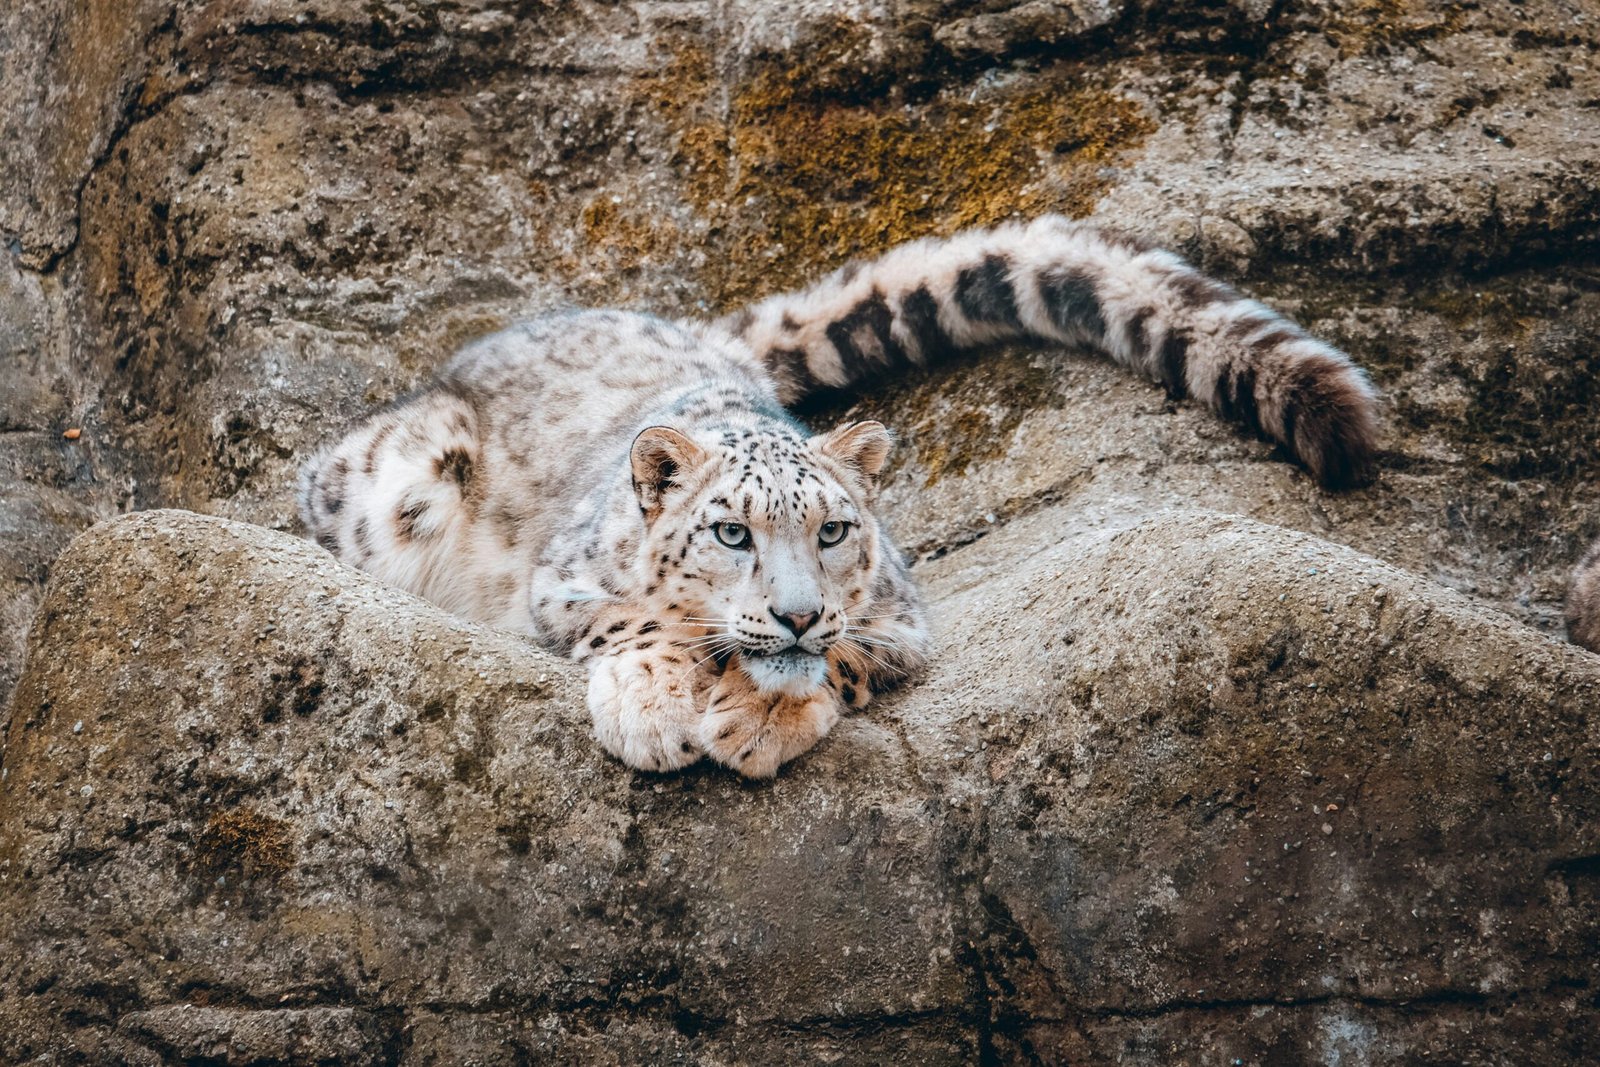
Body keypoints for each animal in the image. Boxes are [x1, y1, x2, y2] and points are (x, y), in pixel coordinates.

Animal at [299, 215, 1380, 777]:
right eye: (730, 531)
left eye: (832, 530)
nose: (795, 612)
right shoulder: (560, 590)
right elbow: (647, 623)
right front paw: (653, 708)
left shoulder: (903, 621)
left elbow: (847, 658)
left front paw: (760, 717)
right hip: (397, 477)